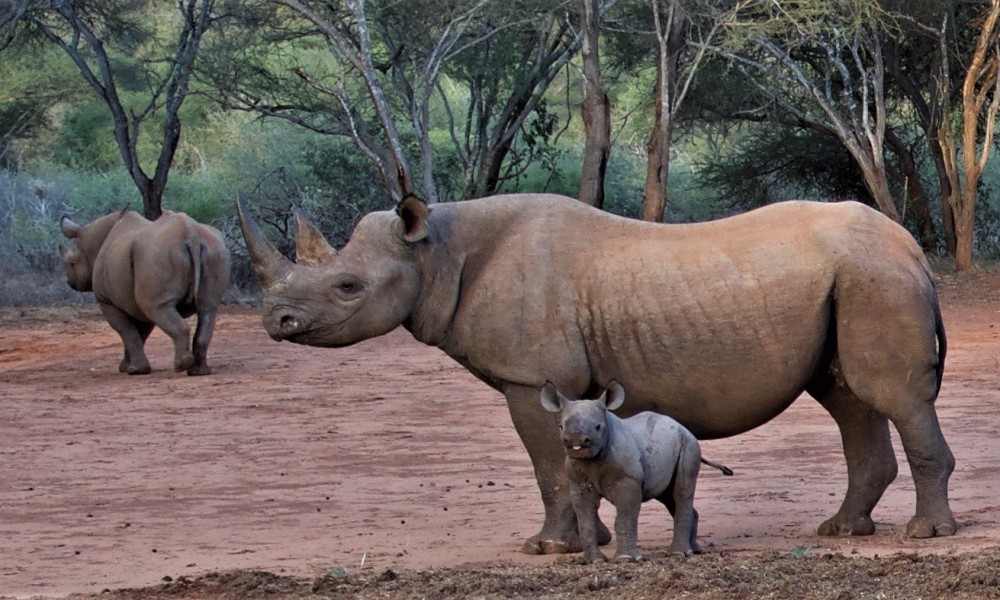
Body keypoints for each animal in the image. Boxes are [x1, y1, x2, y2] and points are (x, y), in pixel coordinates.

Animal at [60, 207, 230, 376]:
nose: (70, 283)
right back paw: (198, 371)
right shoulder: (139, 300)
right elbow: (139, 334)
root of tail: (190, 232)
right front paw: (127, 366)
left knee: (160, 309)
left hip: (157, 254)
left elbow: (127, 332)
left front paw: (135, 370)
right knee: (207, 308)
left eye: (72, 264)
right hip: (214, 250)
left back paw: (181, 366)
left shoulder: (107, 301)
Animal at [544, 380, 732, 564]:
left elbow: (624, 518)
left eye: (598, 427)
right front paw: (594, 561)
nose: (575, 441)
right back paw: (693, 550)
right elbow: (585, 521)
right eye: (560, 426)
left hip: (688, 443)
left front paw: (625, 559)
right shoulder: (578, 483)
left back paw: (678, 554)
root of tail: (683, 427)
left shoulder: (628, 481)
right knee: (667, 496)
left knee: (681, 492)